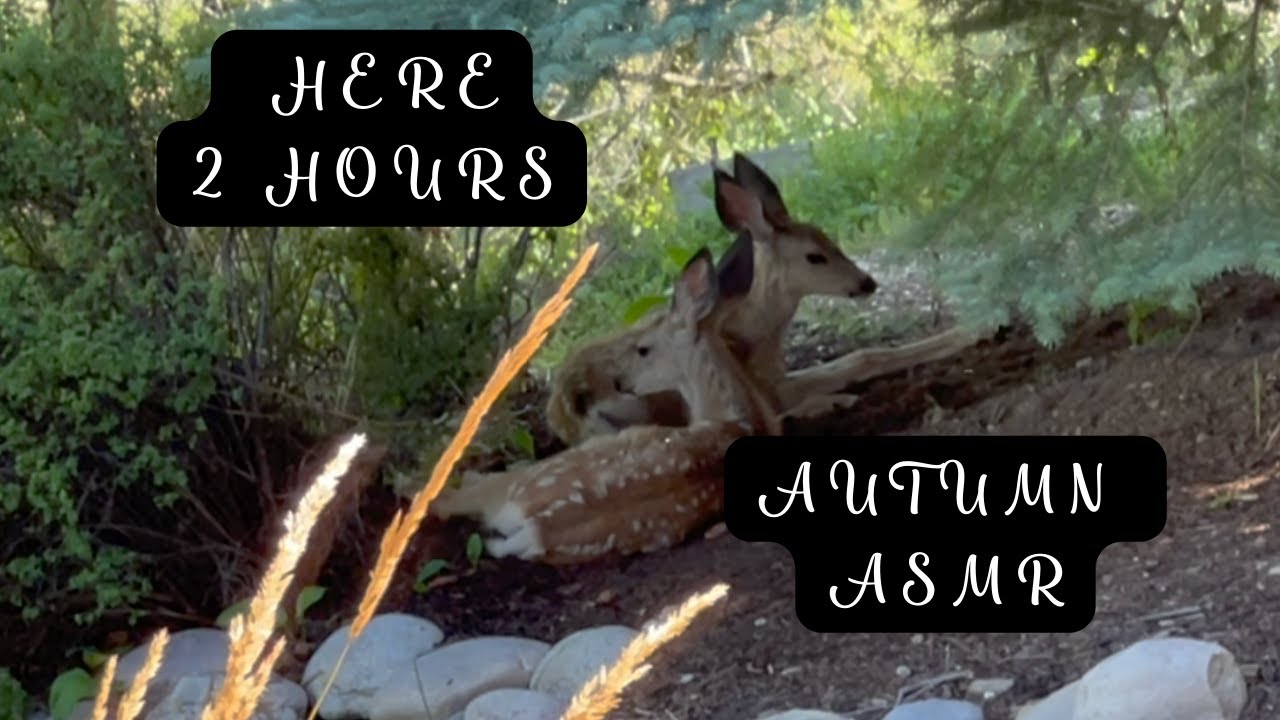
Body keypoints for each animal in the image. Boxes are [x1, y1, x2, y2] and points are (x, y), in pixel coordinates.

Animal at [430, 232, 779, 565]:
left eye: (643, 348)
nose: (620, 381)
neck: (729, 415)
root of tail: (539, 528)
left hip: (538, 473)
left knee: (457, 499)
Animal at [547, 150, 984, 446]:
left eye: (830, 238)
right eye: (814, 255)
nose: (867, 283)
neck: (759, 333)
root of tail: (566, 408)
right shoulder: (767, 383)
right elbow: (862, 357)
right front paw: (965, 333)